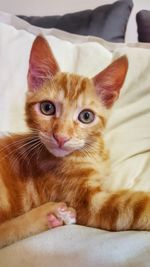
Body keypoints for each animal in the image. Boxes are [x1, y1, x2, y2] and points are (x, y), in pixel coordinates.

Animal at [0, 35, 149, 249]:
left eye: (86, 116)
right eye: (47, 108)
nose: (61, 137)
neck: (90, 152)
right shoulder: (89, 203)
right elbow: (133, 206)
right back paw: (49, 214)